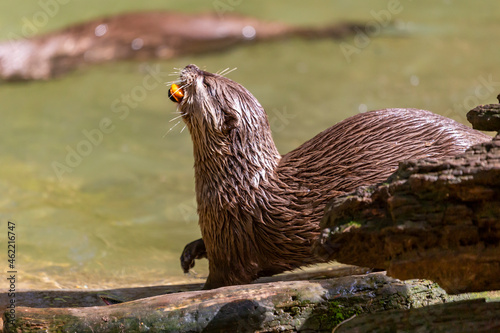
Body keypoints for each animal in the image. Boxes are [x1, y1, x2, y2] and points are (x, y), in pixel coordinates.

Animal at [170, 64, 490, 288]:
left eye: (206, 82)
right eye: (208, 72)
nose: (190, 66)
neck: (238, 182)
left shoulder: (232, 237)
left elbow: (225, 277)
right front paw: (190, 251)